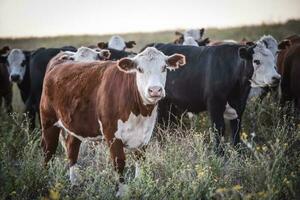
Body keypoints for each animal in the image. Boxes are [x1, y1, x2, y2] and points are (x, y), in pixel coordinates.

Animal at [39, 47, 185, 197]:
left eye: (164, 67)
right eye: (139, 69)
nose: (155, 90)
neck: (139, 111)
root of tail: (60, 60)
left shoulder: (144, 137)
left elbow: (141, 161)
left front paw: (139, 186)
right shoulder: (112, 135)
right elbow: (119, 162)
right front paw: (122, 192)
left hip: (75, 125)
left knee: (72, 148)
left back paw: (74, 181)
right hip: (48, 121)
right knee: (48, 150)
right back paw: (45, 178)